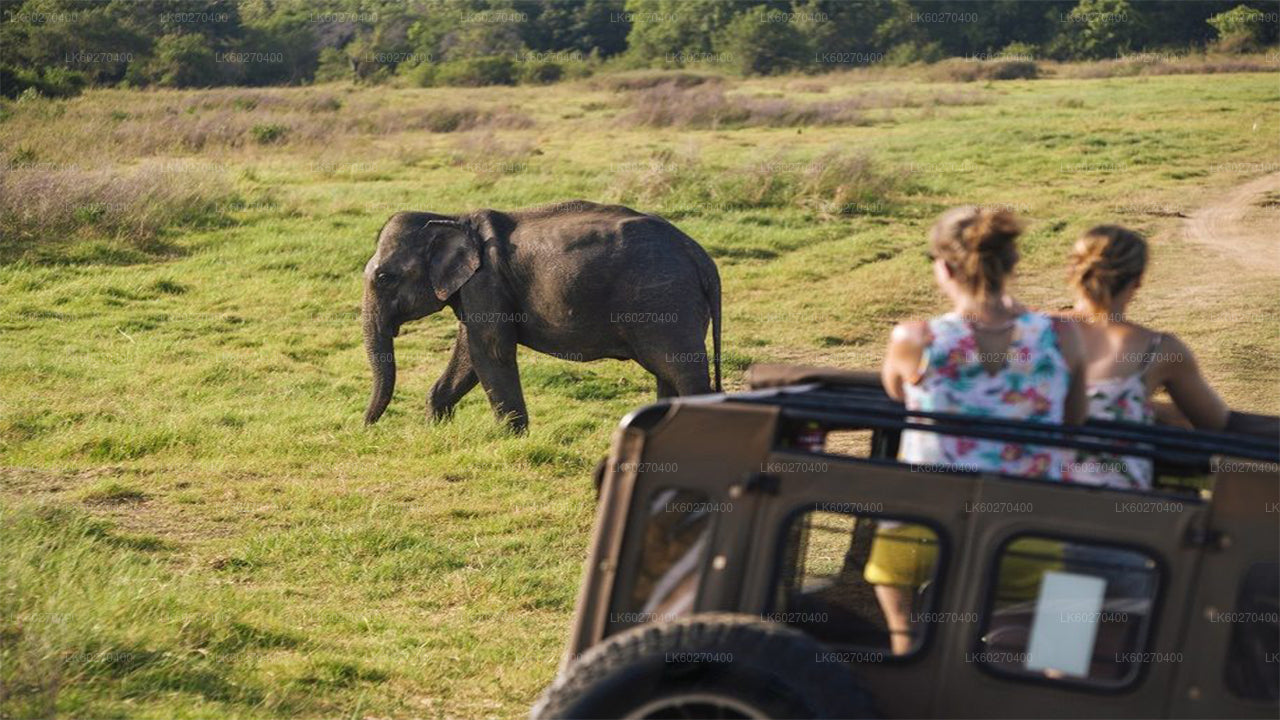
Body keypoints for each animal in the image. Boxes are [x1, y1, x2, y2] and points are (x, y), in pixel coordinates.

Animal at [360, 198, 721, 427]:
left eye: (384, 278)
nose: (365, 427)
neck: (453, 218)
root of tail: (701, 257)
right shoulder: (476, 289)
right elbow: (468, 352)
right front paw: (436, 426)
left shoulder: (486, 281)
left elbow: (490, 351)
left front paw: (511, 437)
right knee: (668, 375)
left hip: (665, 303)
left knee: (683, 372)